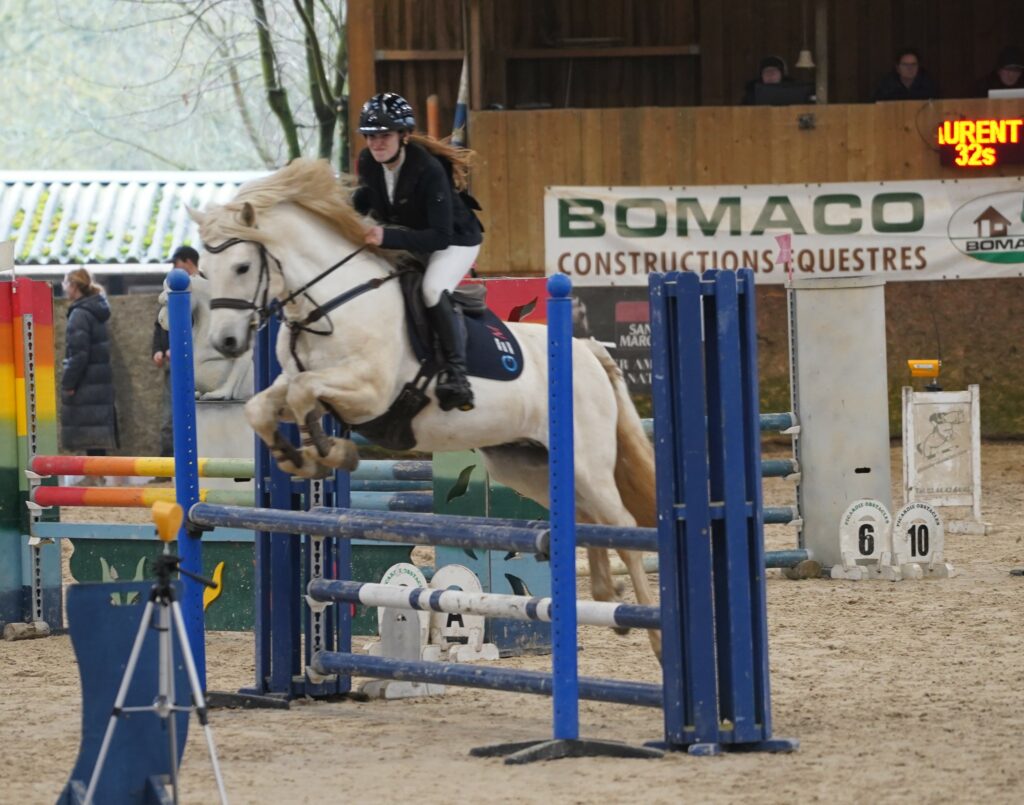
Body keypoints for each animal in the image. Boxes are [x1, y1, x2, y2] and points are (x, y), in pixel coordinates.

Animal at [187, 158, 661, 659]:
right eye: (205, 272)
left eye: (242, 266)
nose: (226, 343)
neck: (334, 302)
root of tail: (587, 349)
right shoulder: (299, 383)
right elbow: (263, 407)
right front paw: (294, 455)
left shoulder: (370, 393)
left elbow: (302, 396)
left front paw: (327, 452)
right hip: (527, 464)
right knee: (586, 516)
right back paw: (607, 595)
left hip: (586, 458)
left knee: (621, 524)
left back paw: (650, 634)